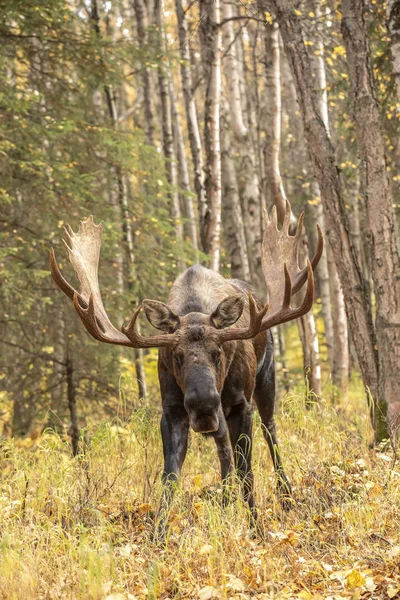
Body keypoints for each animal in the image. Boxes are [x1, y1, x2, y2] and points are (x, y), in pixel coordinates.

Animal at [51, 202, 324, 540]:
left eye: (218, 352)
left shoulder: (239, 404)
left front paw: (257, 529)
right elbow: (170, 476)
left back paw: (285, 495)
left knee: (270, 431)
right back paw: (225, 501)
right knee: (224, 449)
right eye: (177, 356)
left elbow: (247, 471)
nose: (204, 404)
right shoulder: (172, 409)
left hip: (266, 379)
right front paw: (158, 536)